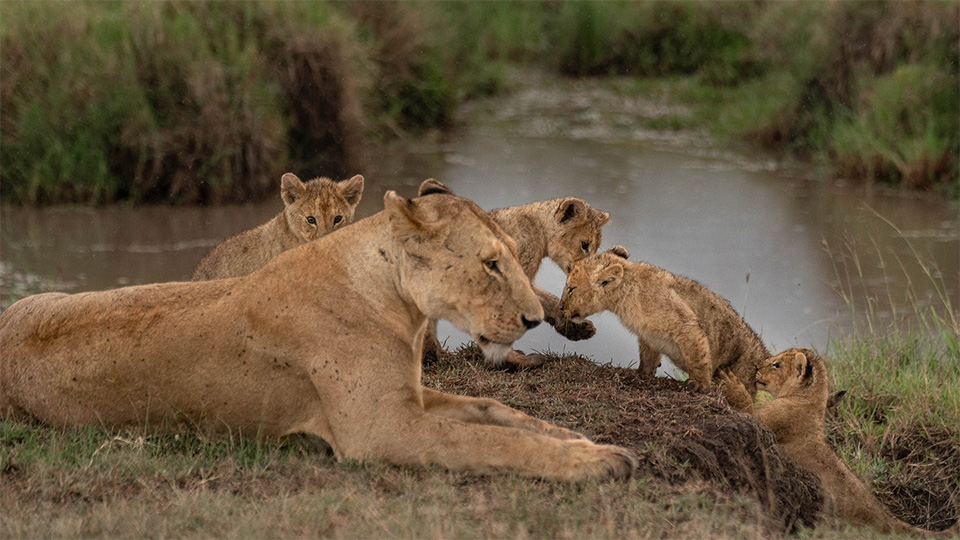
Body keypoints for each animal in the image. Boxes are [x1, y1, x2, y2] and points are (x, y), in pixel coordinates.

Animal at [1, 182, 636, 480]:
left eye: (512, 254)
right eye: (490, 264)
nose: (532, 320)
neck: (394, 298)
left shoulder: (409, 396)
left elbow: (500, 415)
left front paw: (585, 442)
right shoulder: (380, 431)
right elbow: (491, 443)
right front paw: (595, 463)